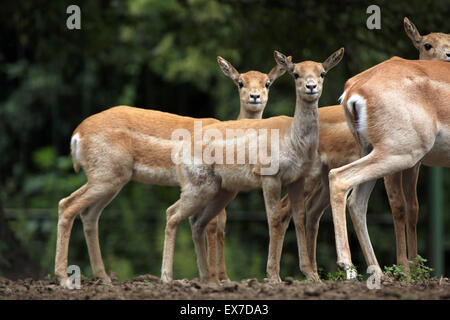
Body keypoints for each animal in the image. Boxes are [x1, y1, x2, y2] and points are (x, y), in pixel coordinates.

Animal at [54, 57, 286, 288]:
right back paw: (65, 278)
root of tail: (77, 135)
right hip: (107, 174)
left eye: (267, 83)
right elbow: (212, 225)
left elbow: (221, 226)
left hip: (112, 178)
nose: (255, 96)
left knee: (87, 213)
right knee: (67, 205)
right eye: (240, 82)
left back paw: (103, 277)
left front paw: (224, 278)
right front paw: (216, 279)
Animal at [161, 48, 344, 282]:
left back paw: (208, 278)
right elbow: (274, 217)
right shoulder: (270, 177)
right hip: (197, 186)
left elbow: (298, 217)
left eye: (322, 73)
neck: (292, 140)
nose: (311, 87)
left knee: (197, 221)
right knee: (172, 214)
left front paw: (311, 275)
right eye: (295, 73)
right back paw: (167, 277)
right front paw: (273, 276)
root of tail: (181, 148)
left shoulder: (297, 178)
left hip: (221, 191)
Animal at [326, 57, 450, 278]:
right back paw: (348, 267)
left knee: (356, 201)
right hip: (399, 153)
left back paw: (378, 274)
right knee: (339, 178)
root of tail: (354, 89)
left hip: (373, 150)